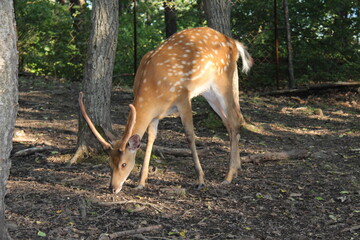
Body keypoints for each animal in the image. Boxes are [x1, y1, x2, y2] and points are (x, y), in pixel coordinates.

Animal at [79, 27, 253, 194]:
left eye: (123, 164)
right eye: (109, 163)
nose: (113, 188)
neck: (154, 90)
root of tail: (234, 42)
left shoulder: (183, 97)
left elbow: (190, 135)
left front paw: (201, 180)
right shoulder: (155, 115)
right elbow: (151, 138)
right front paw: (141, 182)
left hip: (222, 80)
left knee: (235, 120)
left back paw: (228, 176)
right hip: (210, 91)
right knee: (231, 121)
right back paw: (237, 169)